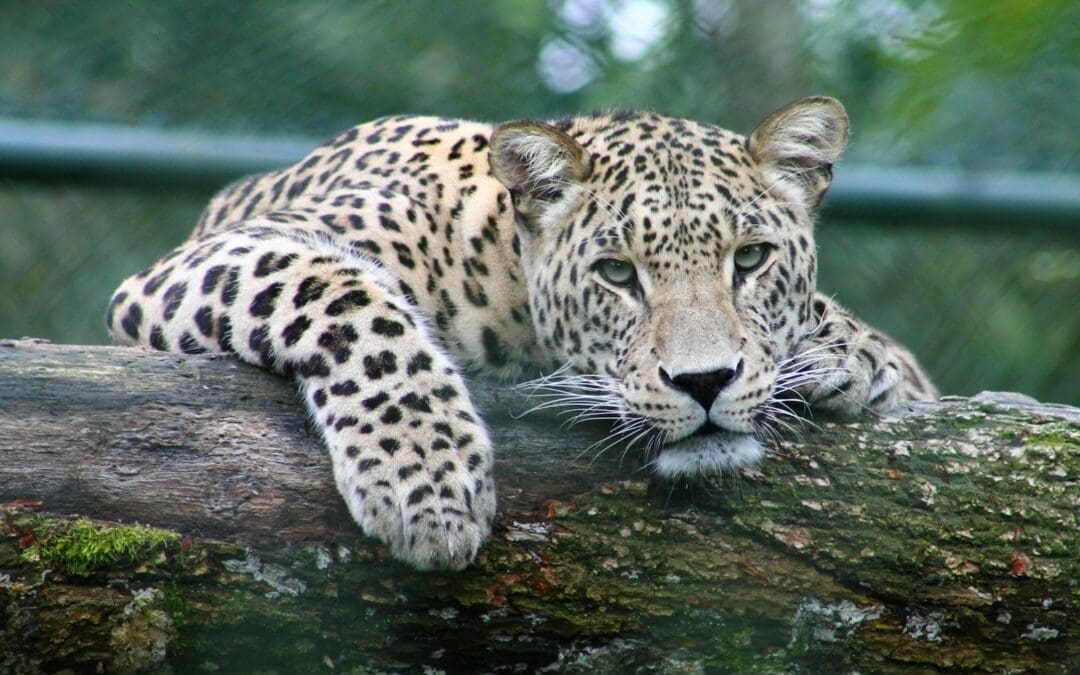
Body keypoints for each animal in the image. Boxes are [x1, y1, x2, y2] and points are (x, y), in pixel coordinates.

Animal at [107, 95, 937, 570]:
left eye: (753, 259)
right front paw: (428, 481)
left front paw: (851, 353)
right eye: (616, 273)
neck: (500, 268)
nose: (704, 382)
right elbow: (345, 296)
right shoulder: (207, 260)